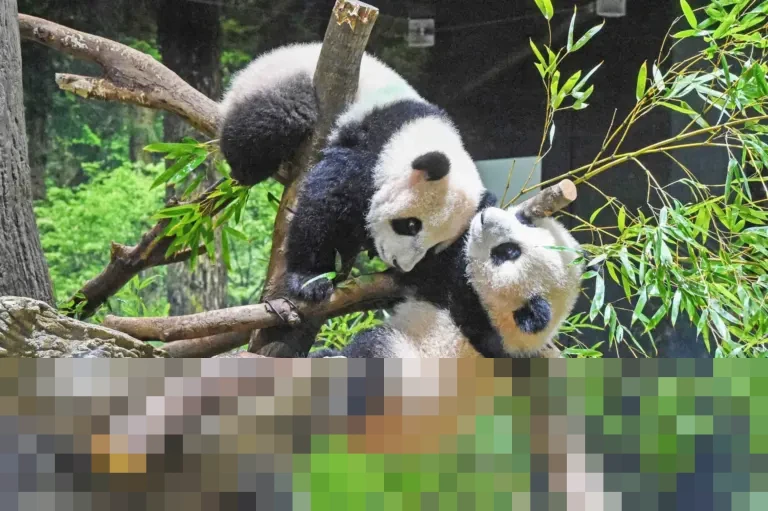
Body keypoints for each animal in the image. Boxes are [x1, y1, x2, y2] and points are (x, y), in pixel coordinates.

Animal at [218, 42, 487, 302]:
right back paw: (248, 170)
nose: (400, 264)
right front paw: (311, 279)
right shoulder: (372, 145)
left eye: (434, 247)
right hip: (279, 83)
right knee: (274, 120)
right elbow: (326, 200)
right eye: (411, 225)